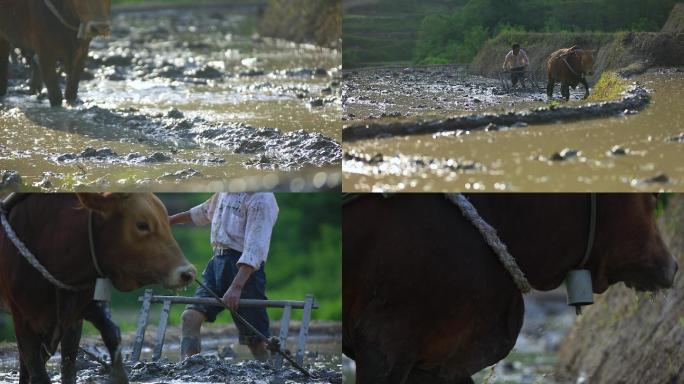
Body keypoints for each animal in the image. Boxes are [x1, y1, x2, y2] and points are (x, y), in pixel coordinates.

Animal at [0, 195, 198, 384]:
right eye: (142, 224)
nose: (187, 273)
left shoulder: (78, 312)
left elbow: (107, 335)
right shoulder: (23, 320)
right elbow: (38, 372)